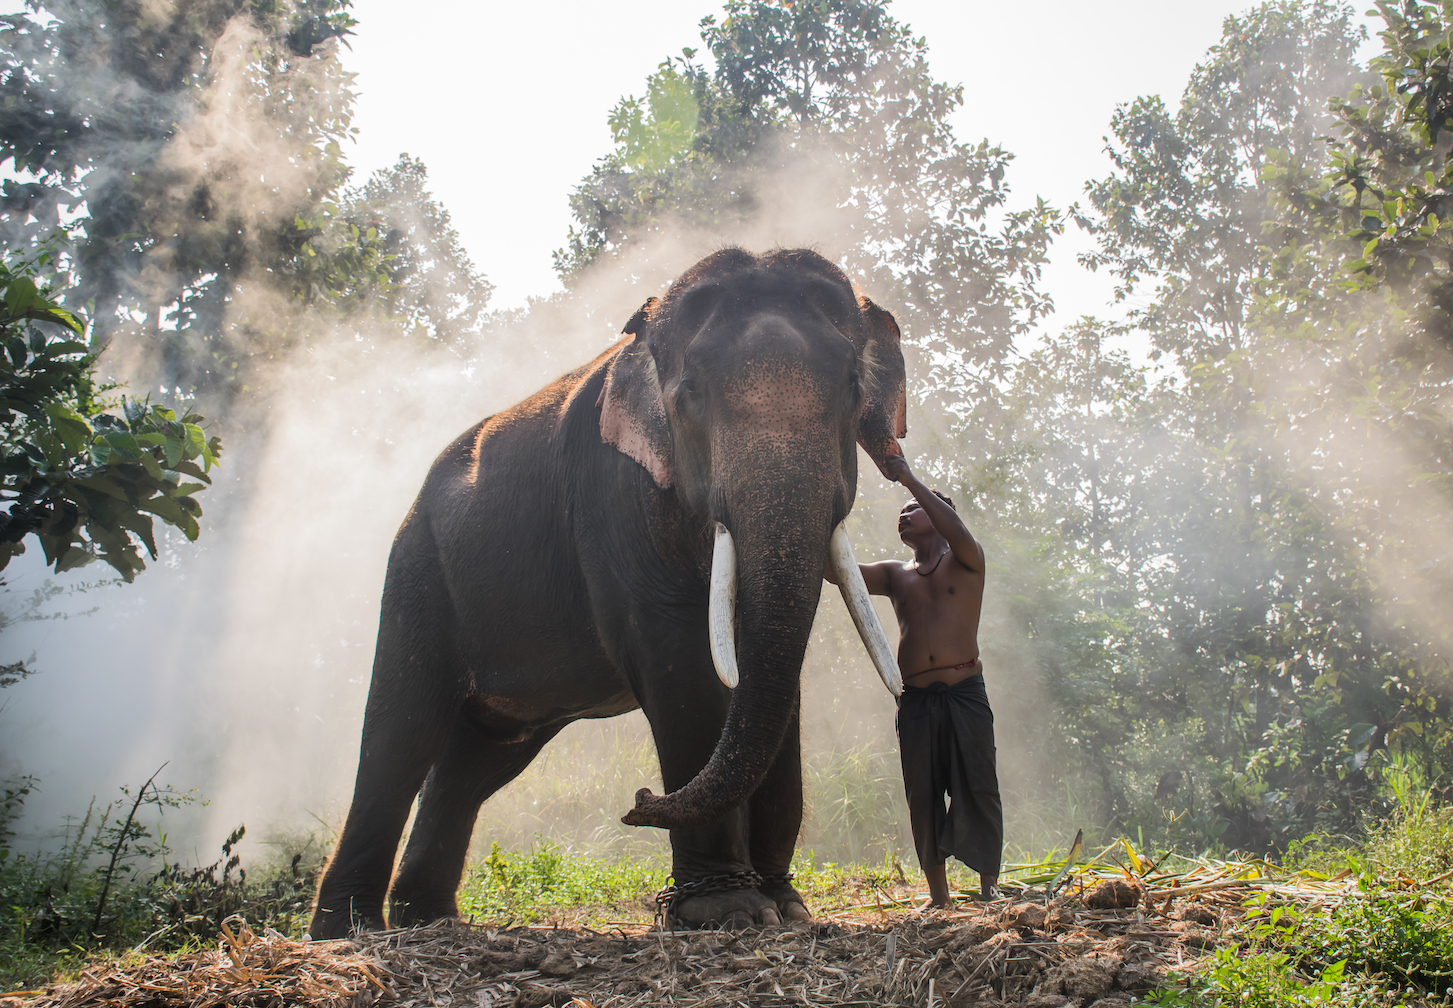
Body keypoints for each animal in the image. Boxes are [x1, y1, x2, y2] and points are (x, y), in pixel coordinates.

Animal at [309, 247, 908, 938]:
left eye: (853, 388)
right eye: (690, 394)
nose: (639, 802)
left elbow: (769, 679)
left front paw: (786, 910)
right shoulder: (613, 495)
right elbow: (682, 670)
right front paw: (727, 913)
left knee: (476, 760)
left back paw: (427, 921)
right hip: (417, 569)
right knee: (401, 733)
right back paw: (347, 930)